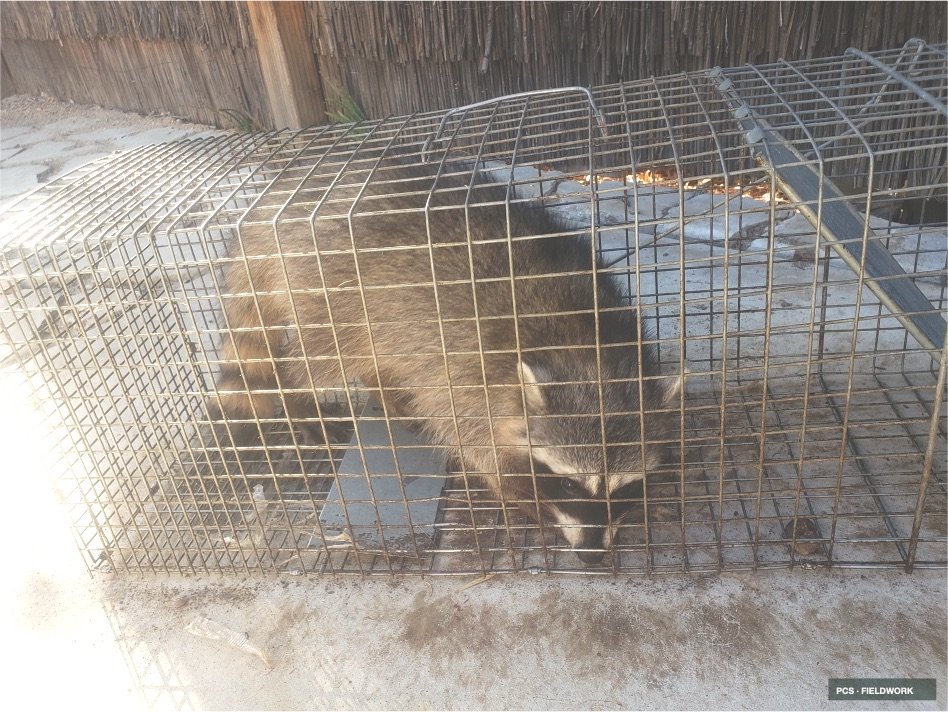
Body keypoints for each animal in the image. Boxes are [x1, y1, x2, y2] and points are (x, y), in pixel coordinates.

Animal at [208, 152, 679, 564]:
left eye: (623, 488)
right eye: (566, 483)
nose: (592, 555)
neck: (586, 349)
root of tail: (283, 197)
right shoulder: (472, 376)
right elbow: (480, 451)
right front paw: (526, 497)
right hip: (331, 290)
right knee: (319, 359)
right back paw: (299, 400)